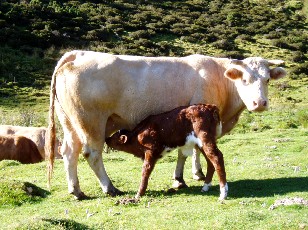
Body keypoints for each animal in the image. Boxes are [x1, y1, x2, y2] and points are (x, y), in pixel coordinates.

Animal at [45, 50, 286, 199]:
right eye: (244, 79)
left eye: (267, 80)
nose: (259, 103)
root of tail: (78, 54)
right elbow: (191, 152)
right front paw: (191, 176)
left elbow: (186, 151)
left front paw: (184, 176)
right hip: (91, 122)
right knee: (92, 153)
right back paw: (110, 188)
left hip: (70, 123)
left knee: (69, 152)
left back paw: (76, 191)